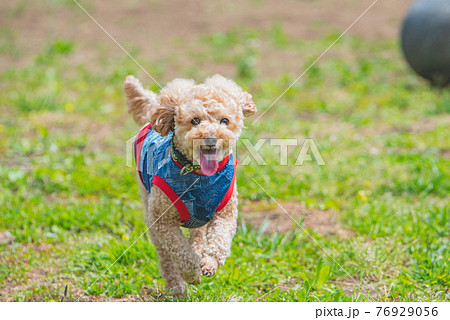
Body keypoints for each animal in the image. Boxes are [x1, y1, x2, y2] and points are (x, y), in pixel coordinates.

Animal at [123, 74, 256, 296]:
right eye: (195, 120)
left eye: (225, 121)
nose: (210, 138)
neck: (199, 177)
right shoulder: (163, 222)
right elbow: (179, 251)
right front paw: (192, 273)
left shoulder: (226, 213)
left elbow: (220, 240)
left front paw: (209, 263)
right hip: (149, 209)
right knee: (166, 257)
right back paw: (176, 287)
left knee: (198, 234)